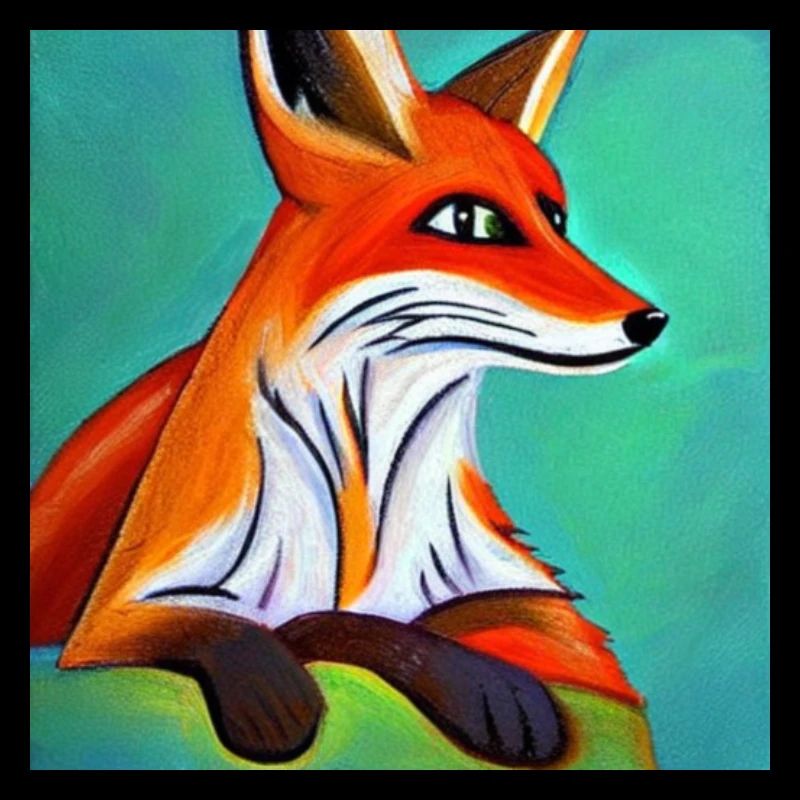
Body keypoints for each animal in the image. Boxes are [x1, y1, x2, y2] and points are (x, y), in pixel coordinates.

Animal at [30, 29, 668, 768]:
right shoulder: (106, 625)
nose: (651, 320)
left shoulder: (544, 607)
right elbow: (248, 626)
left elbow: (436, 617)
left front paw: (492, 685)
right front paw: (277, 688)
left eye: (556, 219)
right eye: (470, 219)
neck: (361, 506)